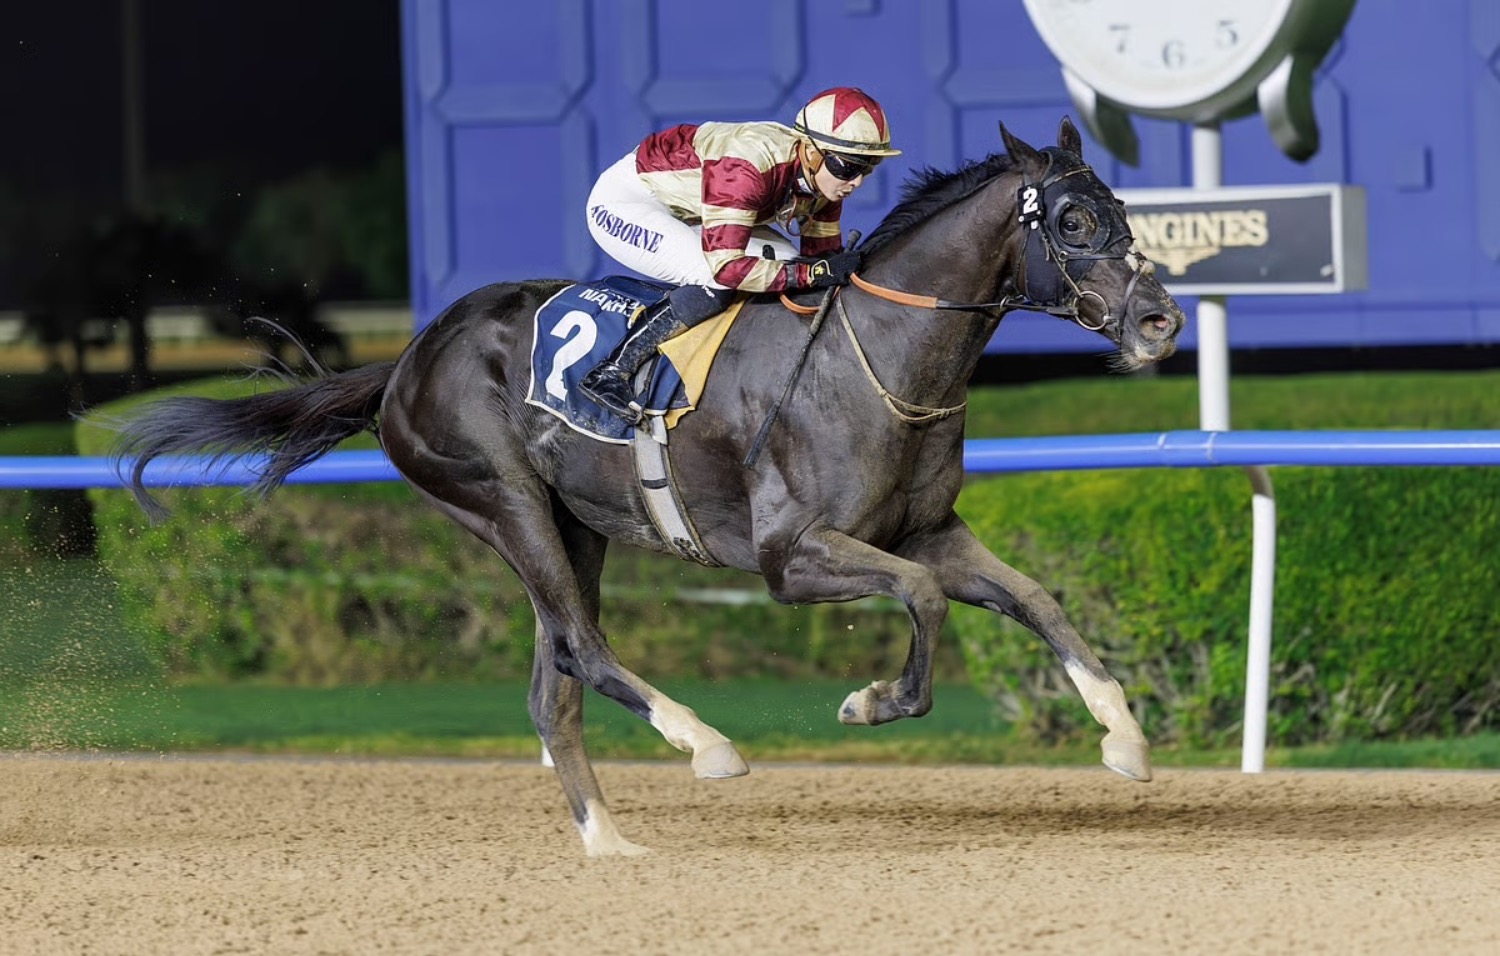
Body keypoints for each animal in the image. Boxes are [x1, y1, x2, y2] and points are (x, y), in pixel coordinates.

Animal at [112, 118, 1186, 857]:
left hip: (573, 526)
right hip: (498, 499)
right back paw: (706, 745)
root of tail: (407, 359)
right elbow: (922, 603)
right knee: (583, 650)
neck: (881, 355)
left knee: (554, 684)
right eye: (1075, 219)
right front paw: (870, 702)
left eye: (1125, 214)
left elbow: (1036, 599)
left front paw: (1126, 740)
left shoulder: (926, 532)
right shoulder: (792, 558)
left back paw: (610, 841)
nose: (1161, 322)